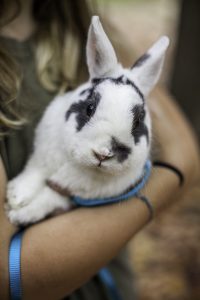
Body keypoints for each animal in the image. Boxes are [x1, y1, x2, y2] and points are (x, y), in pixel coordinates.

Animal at [5, 16, 169, 225]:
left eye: (138, 122)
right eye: (90, 108)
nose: (104, 154)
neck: (78, 164)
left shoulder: (71, 195)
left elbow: (47, 199)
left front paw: (20, 215)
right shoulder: (42, 157)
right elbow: (35, 172)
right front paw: (16, 196)